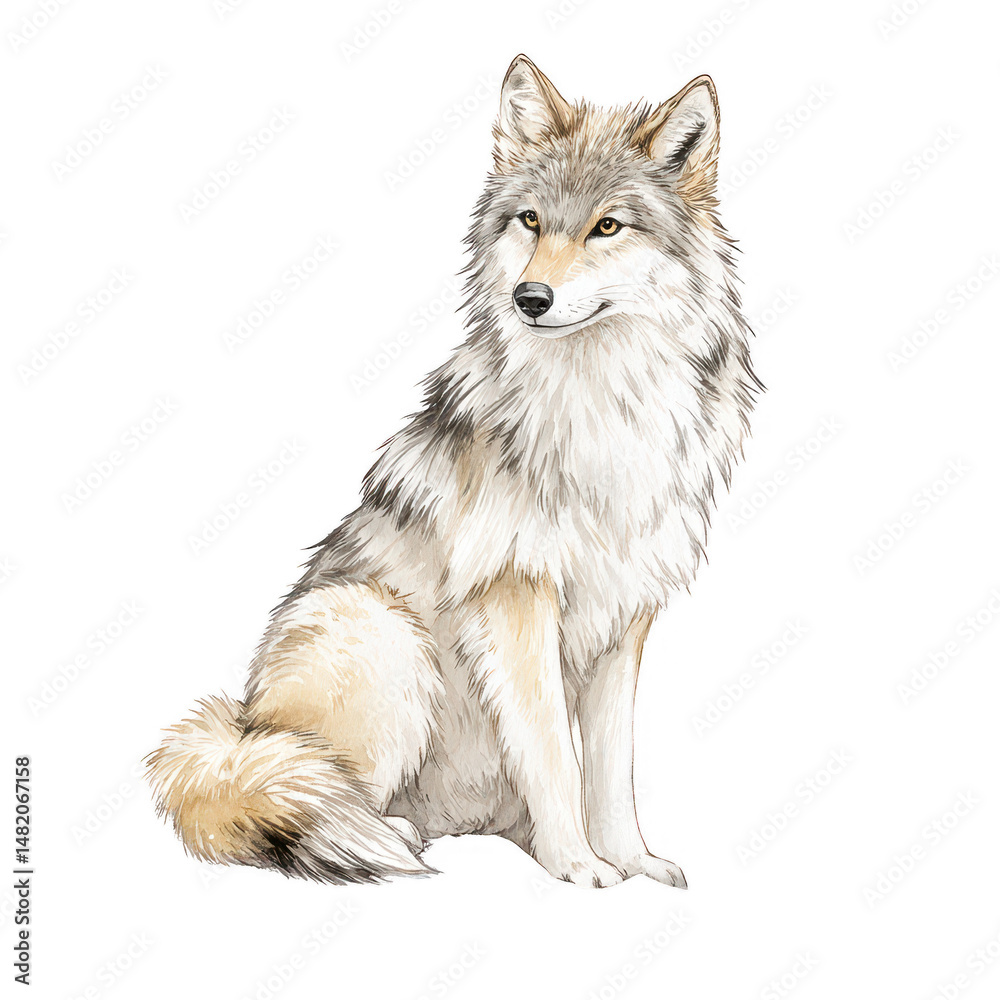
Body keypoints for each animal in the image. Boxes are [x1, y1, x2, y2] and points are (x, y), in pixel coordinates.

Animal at [147, 55, 760, 888]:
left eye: (607, 226)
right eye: (530, 220)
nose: (530, 297)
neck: (607, 400)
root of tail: (240, 725)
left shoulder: (625, 617)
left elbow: (610, 767)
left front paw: (633, 860)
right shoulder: (516, 597)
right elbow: (554, 755)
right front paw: (579, 866)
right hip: (379, 631)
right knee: (301, 795)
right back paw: (384, 836)